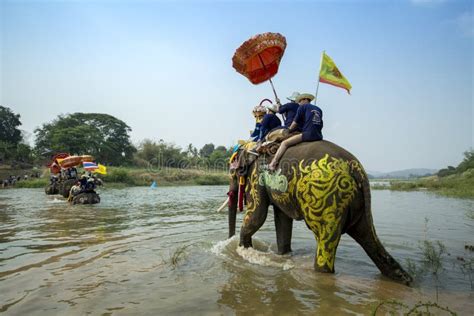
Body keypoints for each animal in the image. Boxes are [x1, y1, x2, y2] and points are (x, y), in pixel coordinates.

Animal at [228, 139, 412, 286]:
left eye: (233, 172)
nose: (229, 239)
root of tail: (355, 167)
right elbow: (282, 219)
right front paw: (283, 255)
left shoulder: (256, 177)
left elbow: (257, 215)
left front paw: (242, 250)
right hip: (358, 203)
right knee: (368, 236)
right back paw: (404, 279)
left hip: (329, 201)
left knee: (325, 241)